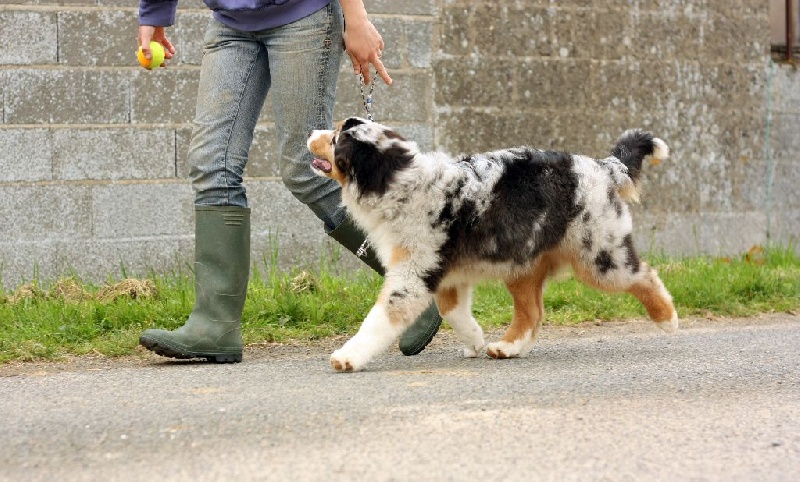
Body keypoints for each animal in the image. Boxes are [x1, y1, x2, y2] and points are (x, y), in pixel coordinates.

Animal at [306, 117, 676, 372]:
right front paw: (475, 340)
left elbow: (380, 319)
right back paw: (507, 347)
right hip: (522, 264)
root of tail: (604, 167)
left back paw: (668, 320)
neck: (399, 181)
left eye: (335, 138)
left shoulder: (412, 277)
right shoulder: (444, 275)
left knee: (644, 274)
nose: (309, 133)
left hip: (599, 256)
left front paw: (348, 356)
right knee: (532, 313)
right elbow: (452, 312)